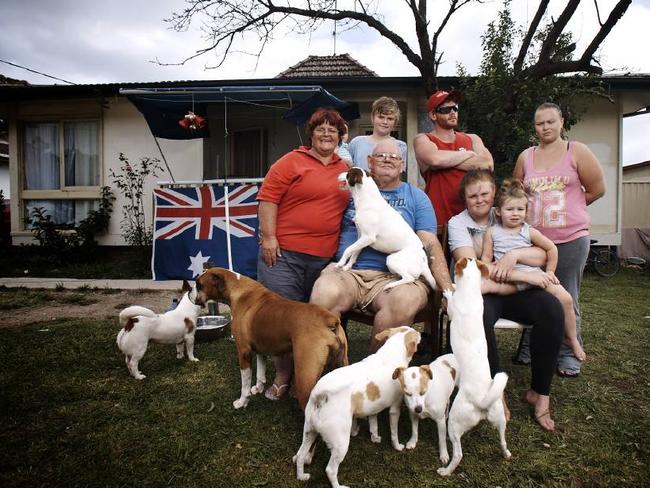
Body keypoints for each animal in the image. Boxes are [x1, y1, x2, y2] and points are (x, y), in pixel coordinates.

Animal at [190, 268, 346, 410]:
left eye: (199, 285)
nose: (189, 293)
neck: (237, 288)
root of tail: (328, 318)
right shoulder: (260, 348)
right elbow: (260, 372)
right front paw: (258, 388)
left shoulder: (244, 352)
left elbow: (245, 382)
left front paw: (242, 402)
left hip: (305, 380)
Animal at [292, 326, 420, 488]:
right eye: (415, 335)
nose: (420, 332)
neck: (390, 355)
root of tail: (319, 395)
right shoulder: (395, 409)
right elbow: (394, 433)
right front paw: (397, 446)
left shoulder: (373, 408)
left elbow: (373, 424)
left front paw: (375, 438)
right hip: (340, 444)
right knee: (330, 470)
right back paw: (338, 486)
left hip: (309, 433)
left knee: (300, 456)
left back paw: (301, 476)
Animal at [436, 260, 512, 476]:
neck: (470, 291)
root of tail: (482, 401)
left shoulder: (452, 311)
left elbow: (451, 300)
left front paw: (449, 290)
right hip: (500, 418)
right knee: (503, 441)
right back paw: (506, 454)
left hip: (453, 424)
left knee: (458, 454)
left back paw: (445, 471)